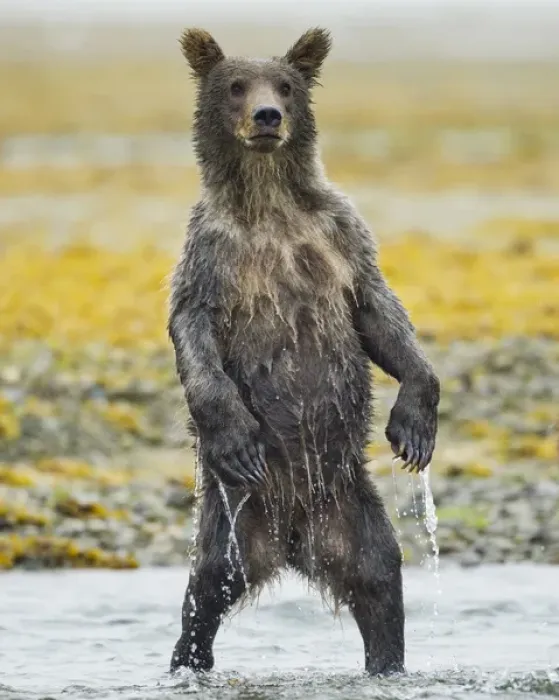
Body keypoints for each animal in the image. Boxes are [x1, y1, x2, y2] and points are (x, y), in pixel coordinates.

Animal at [167, 27, 440, 677]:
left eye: (286, 86)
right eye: (237, 84)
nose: (268, 115)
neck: (270, 205)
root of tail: (290, 542)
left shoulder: (340, 234)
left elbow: (379, 311)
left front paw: (415, 422)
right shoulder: (209, 254)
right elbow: (192, 330)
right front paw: (235, 434)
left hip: (350, 505)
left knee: (380, 582)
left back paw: (388, 664)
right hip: (234, 518)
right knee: (204, 594)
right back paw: (185, 663)